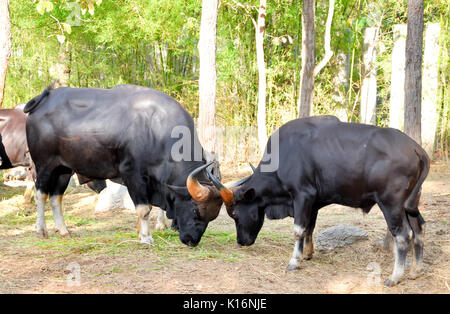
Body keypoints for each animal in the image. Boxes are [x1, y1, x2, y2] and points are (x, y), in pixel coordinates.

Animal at [22, 85, 223, 245]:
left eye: (211, 218)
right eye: (195, 210)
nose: (192, 240)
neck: (156, 130)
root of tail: (44, 98)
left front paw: (141, 231)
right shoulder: (133, 174)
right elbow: (144, 209)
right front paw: (146, 237)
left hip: (63, 169)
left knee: (56, 197)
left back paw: (63, 230)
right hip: (44, 165)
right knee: (41, 194)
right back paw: (41, 230)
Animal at [209, 116, 430, 288]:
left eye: (235, 214)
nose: (241, 241)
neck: (283, 156)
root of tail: (416, 148)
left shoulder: (302, 195)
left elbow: (298, 229)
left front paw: (294, 260)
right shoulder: (313, 202)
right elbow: (309, 227)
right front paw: (307, 253)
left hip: (391, 204)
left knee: (403, 235)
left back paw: (395, 276)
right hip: (410, 204)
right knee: (419, 227)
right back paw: (415, 270)